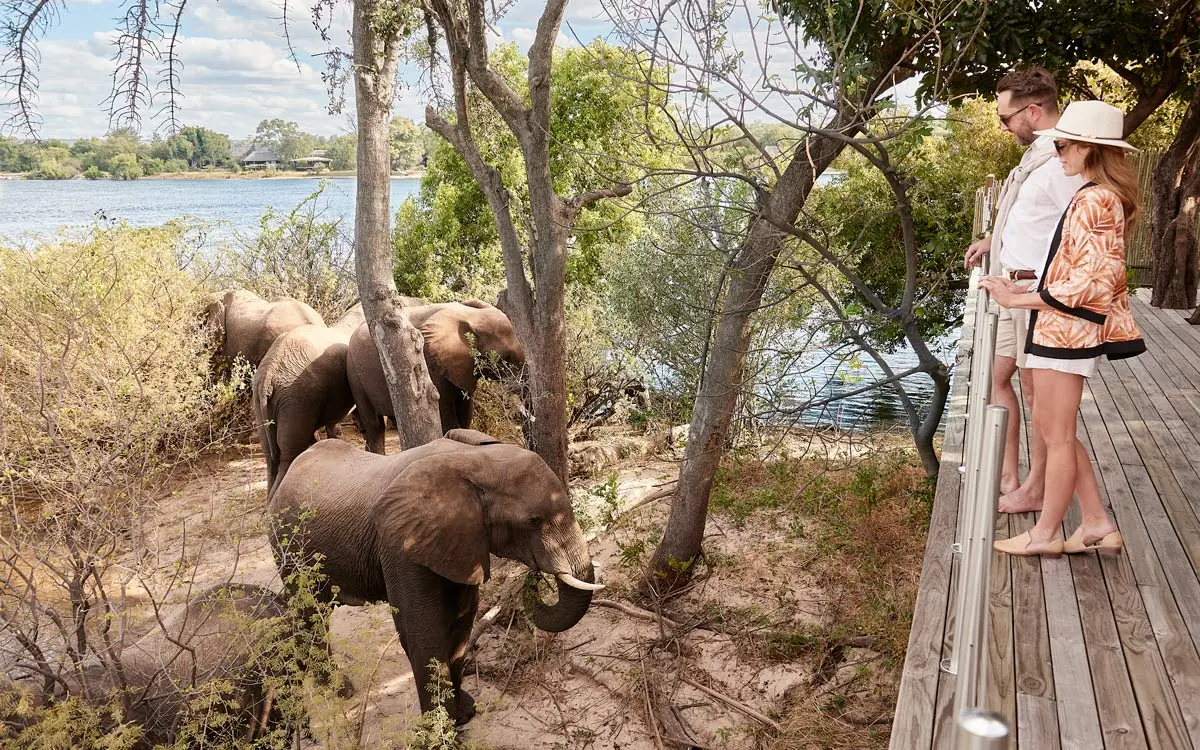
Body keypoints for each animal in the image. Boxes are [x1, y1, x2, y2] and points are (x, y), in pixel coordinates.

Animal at [267, 429, 601, 725]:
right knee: (312, 612)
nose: (534, 579)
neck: (475, 462)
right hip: (288, 545)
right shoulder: (401, 544)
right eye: (534, 521)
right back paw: (339, 690)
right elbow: (422, 632)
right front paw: (442, 729)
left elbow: (461, 623)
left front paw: (464, 713)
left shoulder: (460, 541)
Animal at [346, 300, 526, 454]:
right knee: (374, 424)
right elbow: (447, 417)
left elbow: (465, 414)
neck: (472, 316)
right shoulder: (429, 362)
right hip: (354, 372)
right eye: (506, 358)